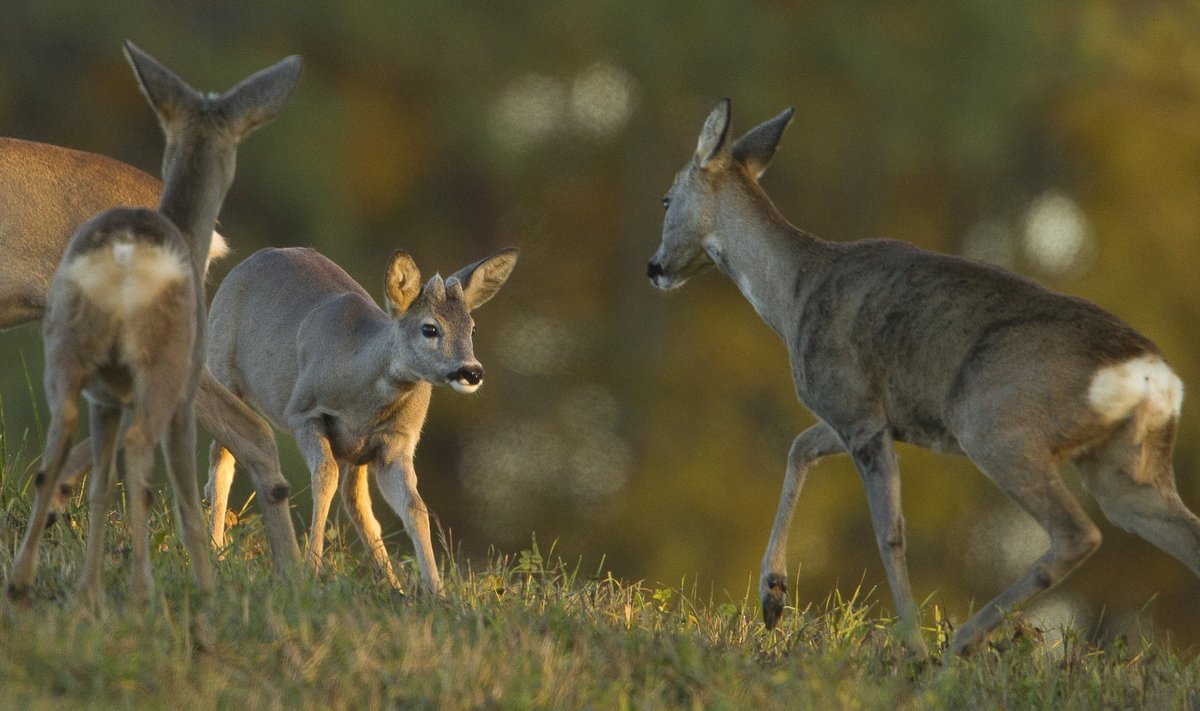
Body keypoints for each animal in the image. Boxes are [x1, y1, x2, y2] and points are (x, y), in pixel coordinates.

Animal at [204, 246, 518, 593]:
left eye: (472, 328)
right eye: (430, 328)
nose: (471, 371)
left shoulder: (396, 442)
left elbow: (414, 506)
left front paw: (436, 591)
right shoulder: (304, 412)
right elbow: (324, 479)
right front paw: (311, 570)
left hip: (356, 453)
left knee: (356, 501)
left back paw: (393, 584)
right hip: (220, 365)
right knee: (222, 462)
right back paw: (215, 550)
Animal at [648, 98, 1200, 653]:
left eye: (667, 198)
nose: (654, 267)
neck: (794, 294)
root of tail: (1153, 374)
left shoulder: (854, 407)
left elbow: (888, 531)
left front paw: (910, 643)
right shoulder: (874, 415)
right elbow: (800, 446)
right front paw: (773, 597)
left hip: (998, 428)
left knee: (1076, 533)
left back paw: (959, 644)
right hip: (1126, 468)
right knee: (1183, 534)